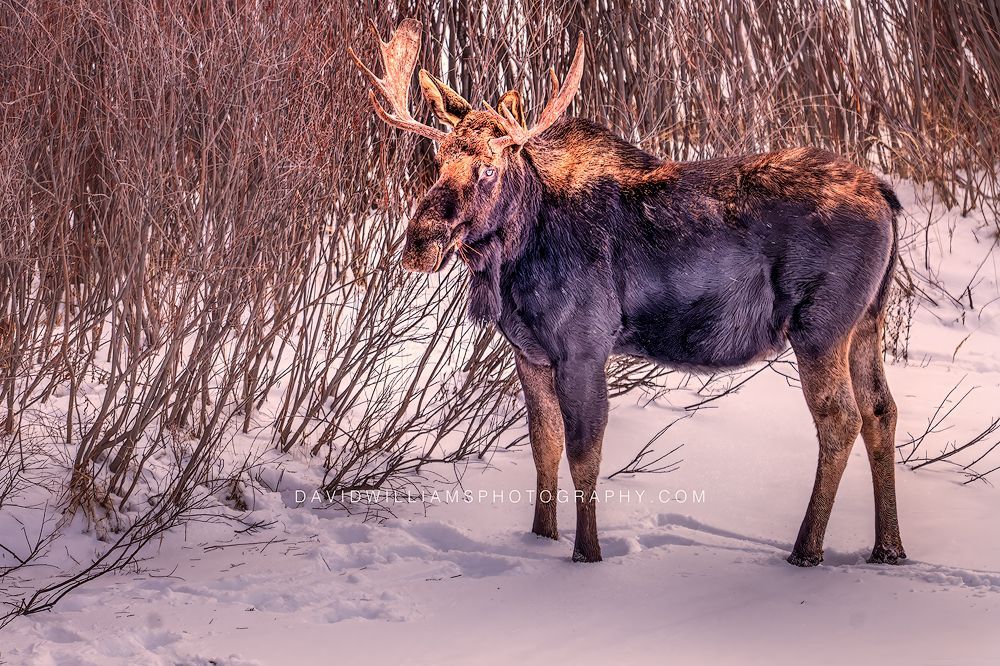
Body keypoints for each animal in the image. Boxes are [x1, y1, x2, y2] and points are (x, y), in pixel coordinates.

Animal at [350, 19, 905, 566]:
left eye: (488, 167)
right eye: (439, 158)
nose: (420, 241)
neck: (518, 257)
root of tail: (887, 196)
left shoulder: (584, 346)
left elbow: (584, 455)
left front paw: (587, 553)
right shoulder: (529, 354)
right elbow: (544, 447)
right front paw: (540, 538)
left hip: (820, 326)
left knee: (840, 418)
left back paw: (805, 551)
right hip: (867, 321)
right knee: (881, 410)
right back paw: (888, 549)